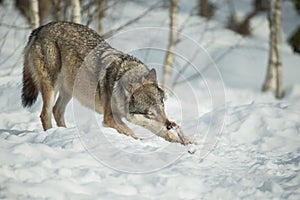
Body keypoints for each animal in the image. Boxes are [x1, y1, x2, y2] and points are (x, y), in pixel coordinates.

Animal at [21, 21, 183, 144]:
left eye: (162, 106)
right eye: (150, 113)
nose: (170, 125)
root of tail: (40, 28)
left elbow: (165, 134)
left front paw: (184, 144)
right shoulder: (109, 119)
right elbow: (131, 132)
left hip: (69, 90)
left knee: (57, 110)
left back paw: (65, 132)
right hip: (51, 87)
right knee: (45, 114)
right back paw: (52, 135)